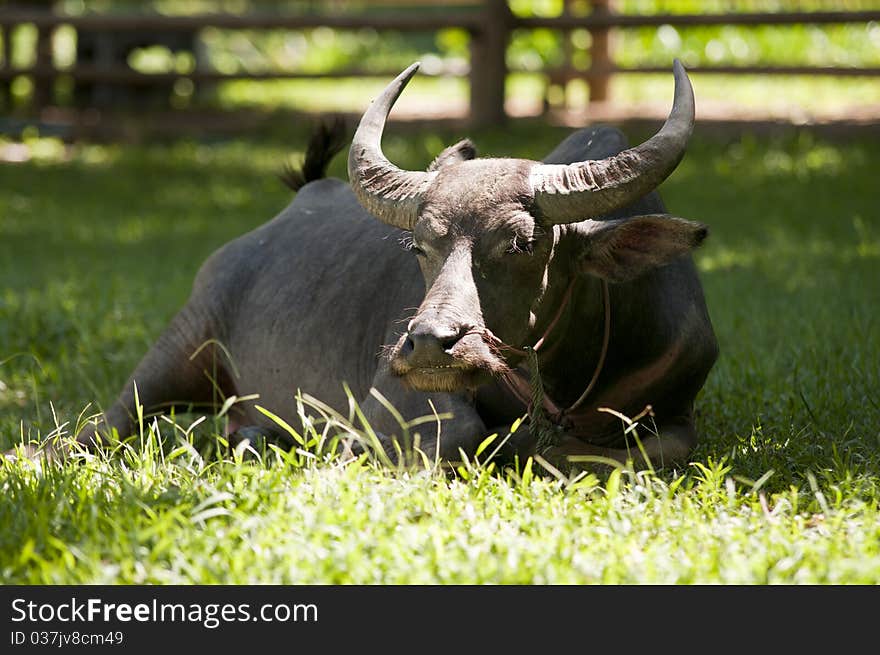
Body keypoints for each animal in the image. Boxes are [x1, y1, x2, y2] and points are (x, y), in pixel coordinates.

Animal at [70, 61, 716, 468]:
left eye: (523, 243)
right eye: (419, 247)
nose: (430, 344)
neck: (572, 383)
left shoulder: (679, 410)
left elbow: (642, 451)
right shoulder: (391, 396)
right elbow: (464, 433)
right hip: (183, 340)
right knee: (104, 425)